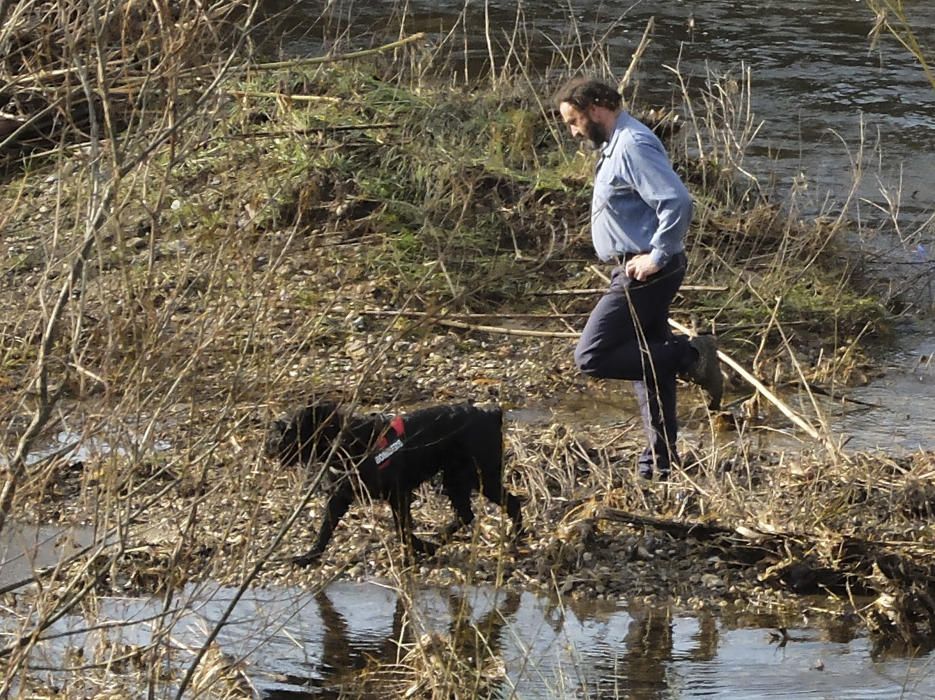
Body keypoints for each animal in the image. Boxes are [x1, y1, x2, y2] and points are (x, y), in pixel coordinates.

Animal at [266, 400, 524, 564]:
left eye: (291, 429)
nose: (270, 443)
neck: (351, 442)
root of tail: (492, 414)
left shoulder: (399, 495)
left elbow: (403, 530)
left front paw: (415, 550)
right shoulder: (340, 496)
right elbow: (325, 529)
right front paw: (309, 556)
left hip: (477, 477)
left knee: (508, 504)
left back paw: (513, 536)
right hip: (457, 479)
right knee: (469, 514)